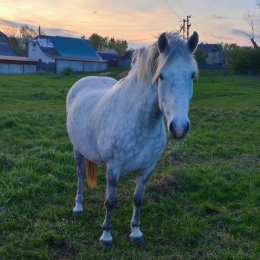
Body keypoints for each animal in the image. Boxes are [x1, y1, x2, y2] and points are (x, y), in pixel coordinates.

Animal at [66, 31, 199, 246]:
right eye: (160, 76)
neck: (141, 121)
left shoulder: (147, 169)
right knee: (80, 174)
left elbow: (138, 199)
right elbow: (110, 202)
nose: (179, 128)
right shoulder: (114, 168)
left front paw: (136, 232)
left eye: (192, 75)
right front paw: (106, 235)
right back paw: (78, 206)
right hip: (77, 149)